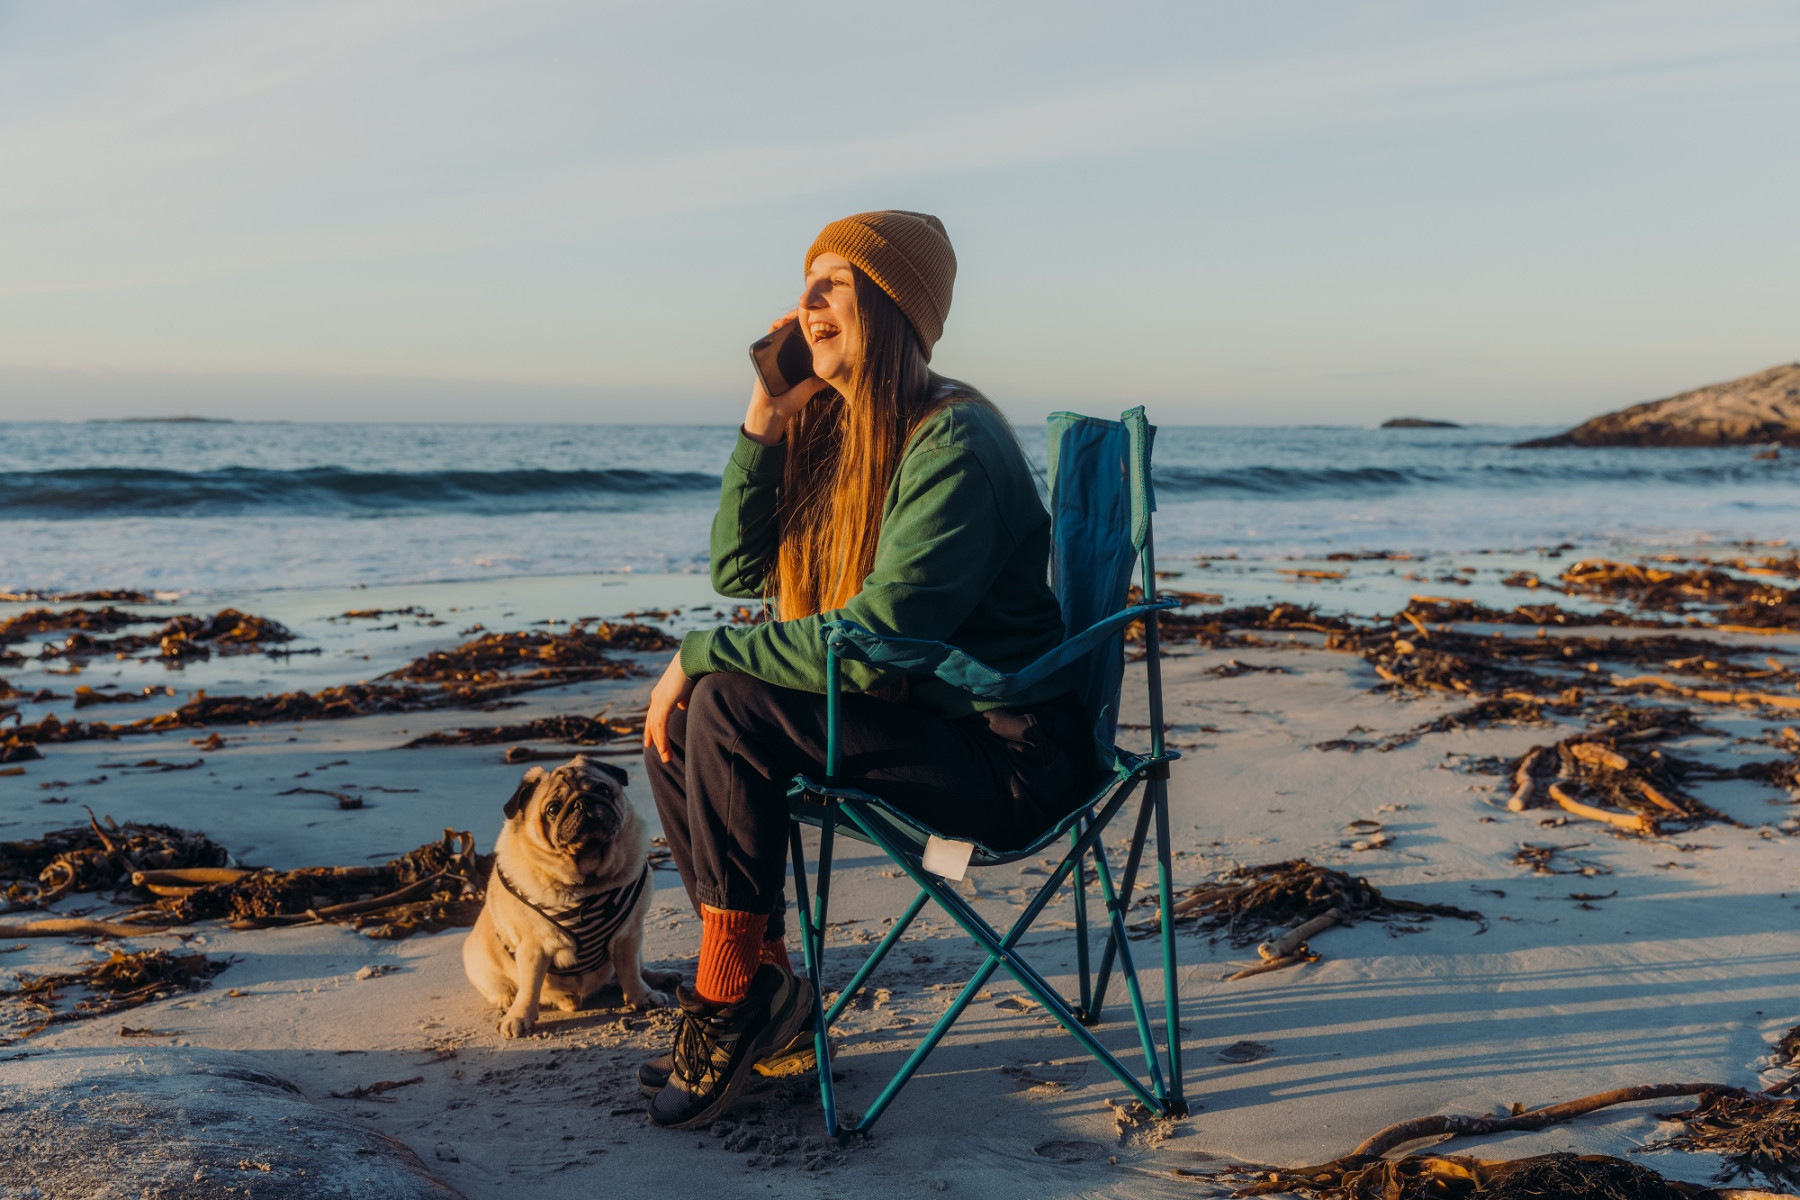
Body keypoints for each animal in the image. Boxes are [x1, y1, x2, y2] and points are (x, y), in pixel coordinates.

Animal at [464, 755, 676, 1036]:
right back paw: (507, 999)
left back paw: (660, 978)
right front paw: (519, 1017)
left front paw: (642, 997)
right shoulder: (532, 947)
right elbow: (529, 987)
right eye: (553, 809)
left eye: (603, 790)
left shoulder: (630, 934)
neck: (589, 879)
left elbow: (630, 970)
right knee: (504, 987)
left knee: (637, 967)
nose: (582, 803)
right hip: (478, 960)